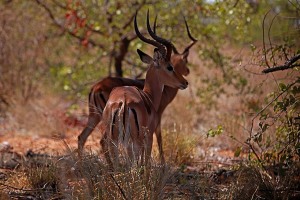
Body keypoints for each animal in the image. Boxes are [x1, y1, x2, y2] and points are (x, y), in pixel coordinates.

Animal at [77, 15, 197, 164]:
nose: (185, 82)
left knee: (83, 138)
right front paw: (163, 164)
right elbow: (155, 146)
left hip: (99, 122)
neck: (149, 95)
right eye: (170, 67)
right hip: (131, 139)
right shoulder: (152, 129)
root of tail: (123, 102)